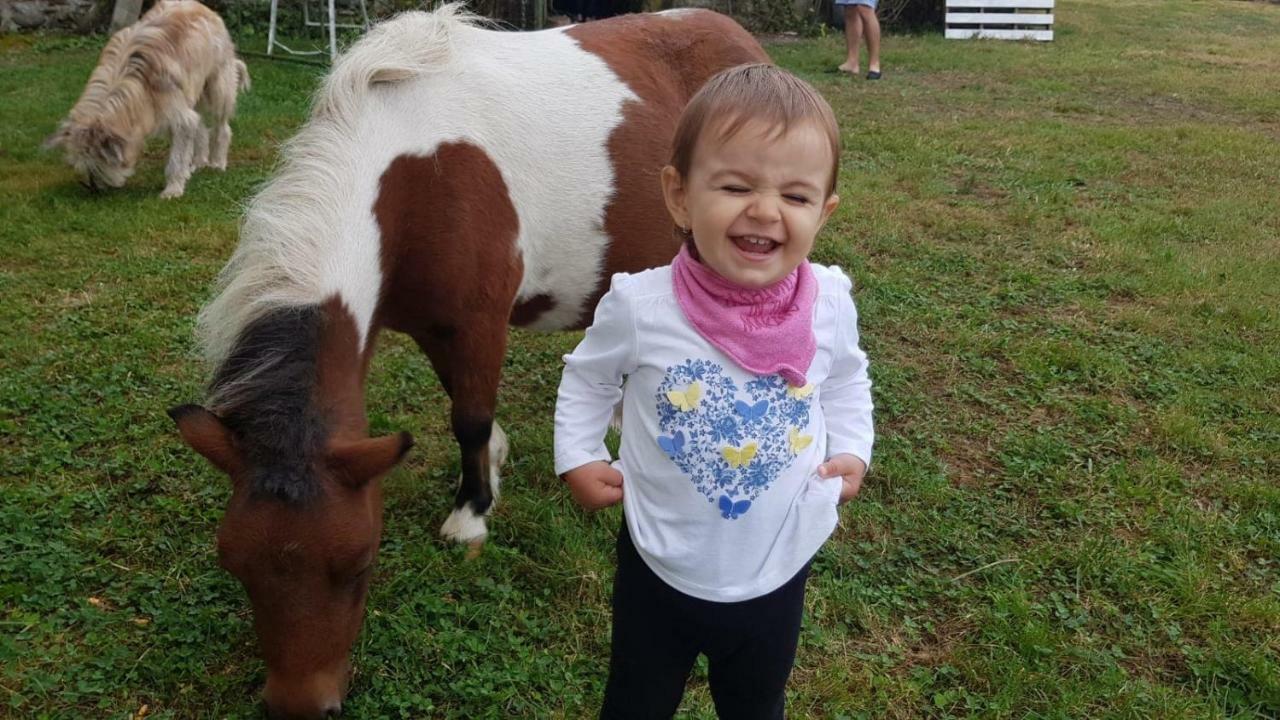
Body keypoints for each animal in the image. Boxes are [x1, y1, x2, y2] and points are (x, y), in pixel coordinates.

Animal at [46, 0, 249, 196]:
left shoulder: (178, 115)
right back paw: (199, 161)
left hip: (219, 87)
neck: (132, 81)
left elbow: (177, 157)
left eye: (97, 166)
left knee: (222, 128)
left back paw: (218, 163)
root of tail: (206, 9)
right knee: (201, 128)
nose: (93, 189)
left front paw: (173, 189)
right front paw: (183, 175)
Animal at [170, 7, 768, 717]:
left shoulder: (480, 321)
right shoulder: (430, 323)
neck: (415, 172)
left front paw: (472, 511)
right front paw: (496, 465)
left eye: (360, 563)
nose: (301, 707)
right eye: (236, 565)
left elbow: (470, 417)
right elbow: (461, 399)